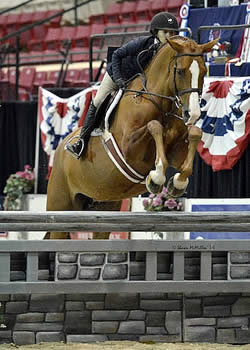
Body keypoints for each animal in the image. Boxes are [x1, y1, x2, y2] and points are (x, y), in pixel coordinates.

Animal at [45, 36, 217, 238]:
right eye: (181, 71)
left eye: (204, 72)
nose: (193, 114)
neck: (159, 102)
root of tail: (59, 150)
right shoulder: (130, 148)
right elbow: (154, 126)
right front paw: (156, 178)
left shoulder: (177, 150)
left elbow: (194, 135)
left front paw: (177, 184)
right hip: (60, 205)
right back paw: (76, 147)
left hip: (104, 205)